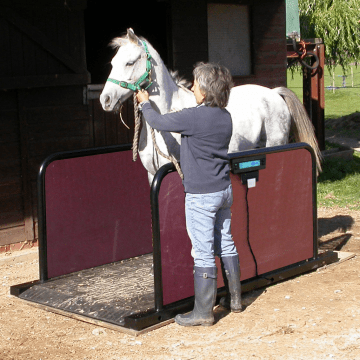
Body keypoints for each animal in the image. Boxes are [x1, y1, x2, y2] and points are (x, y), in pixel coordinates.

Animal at [100, 28, 322, 184]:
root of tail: (274, 93)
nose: (106, 100)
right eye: (112, 62)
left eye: (129, 63)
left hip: (275, 145)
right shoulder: (152, 174)